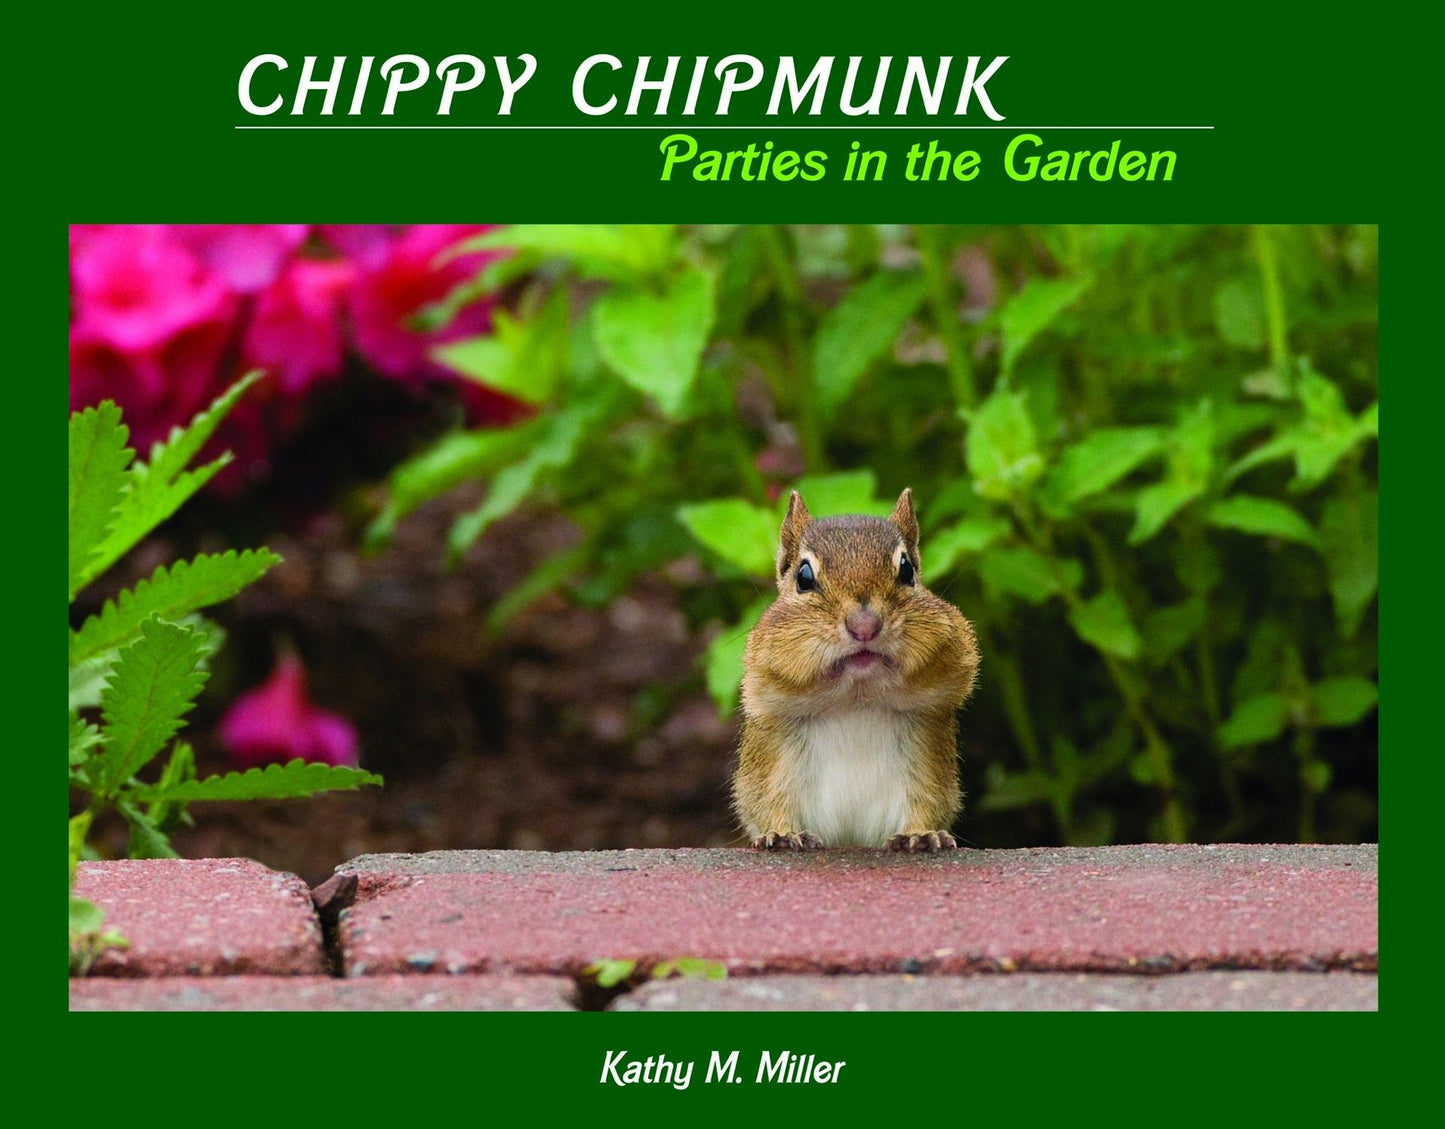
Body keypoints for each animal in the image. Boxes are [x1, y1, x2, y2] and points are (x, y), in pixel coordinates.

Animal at [733, 488, 980, 852]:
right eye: (803, 578)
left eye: (907, 570)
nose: (865, 626)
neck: (856, 699)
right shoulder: (772, 757)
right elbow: (766, 801)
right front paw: (781, 833)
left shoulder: (927, 763)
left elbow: (927, 802)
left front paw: (922, 834)